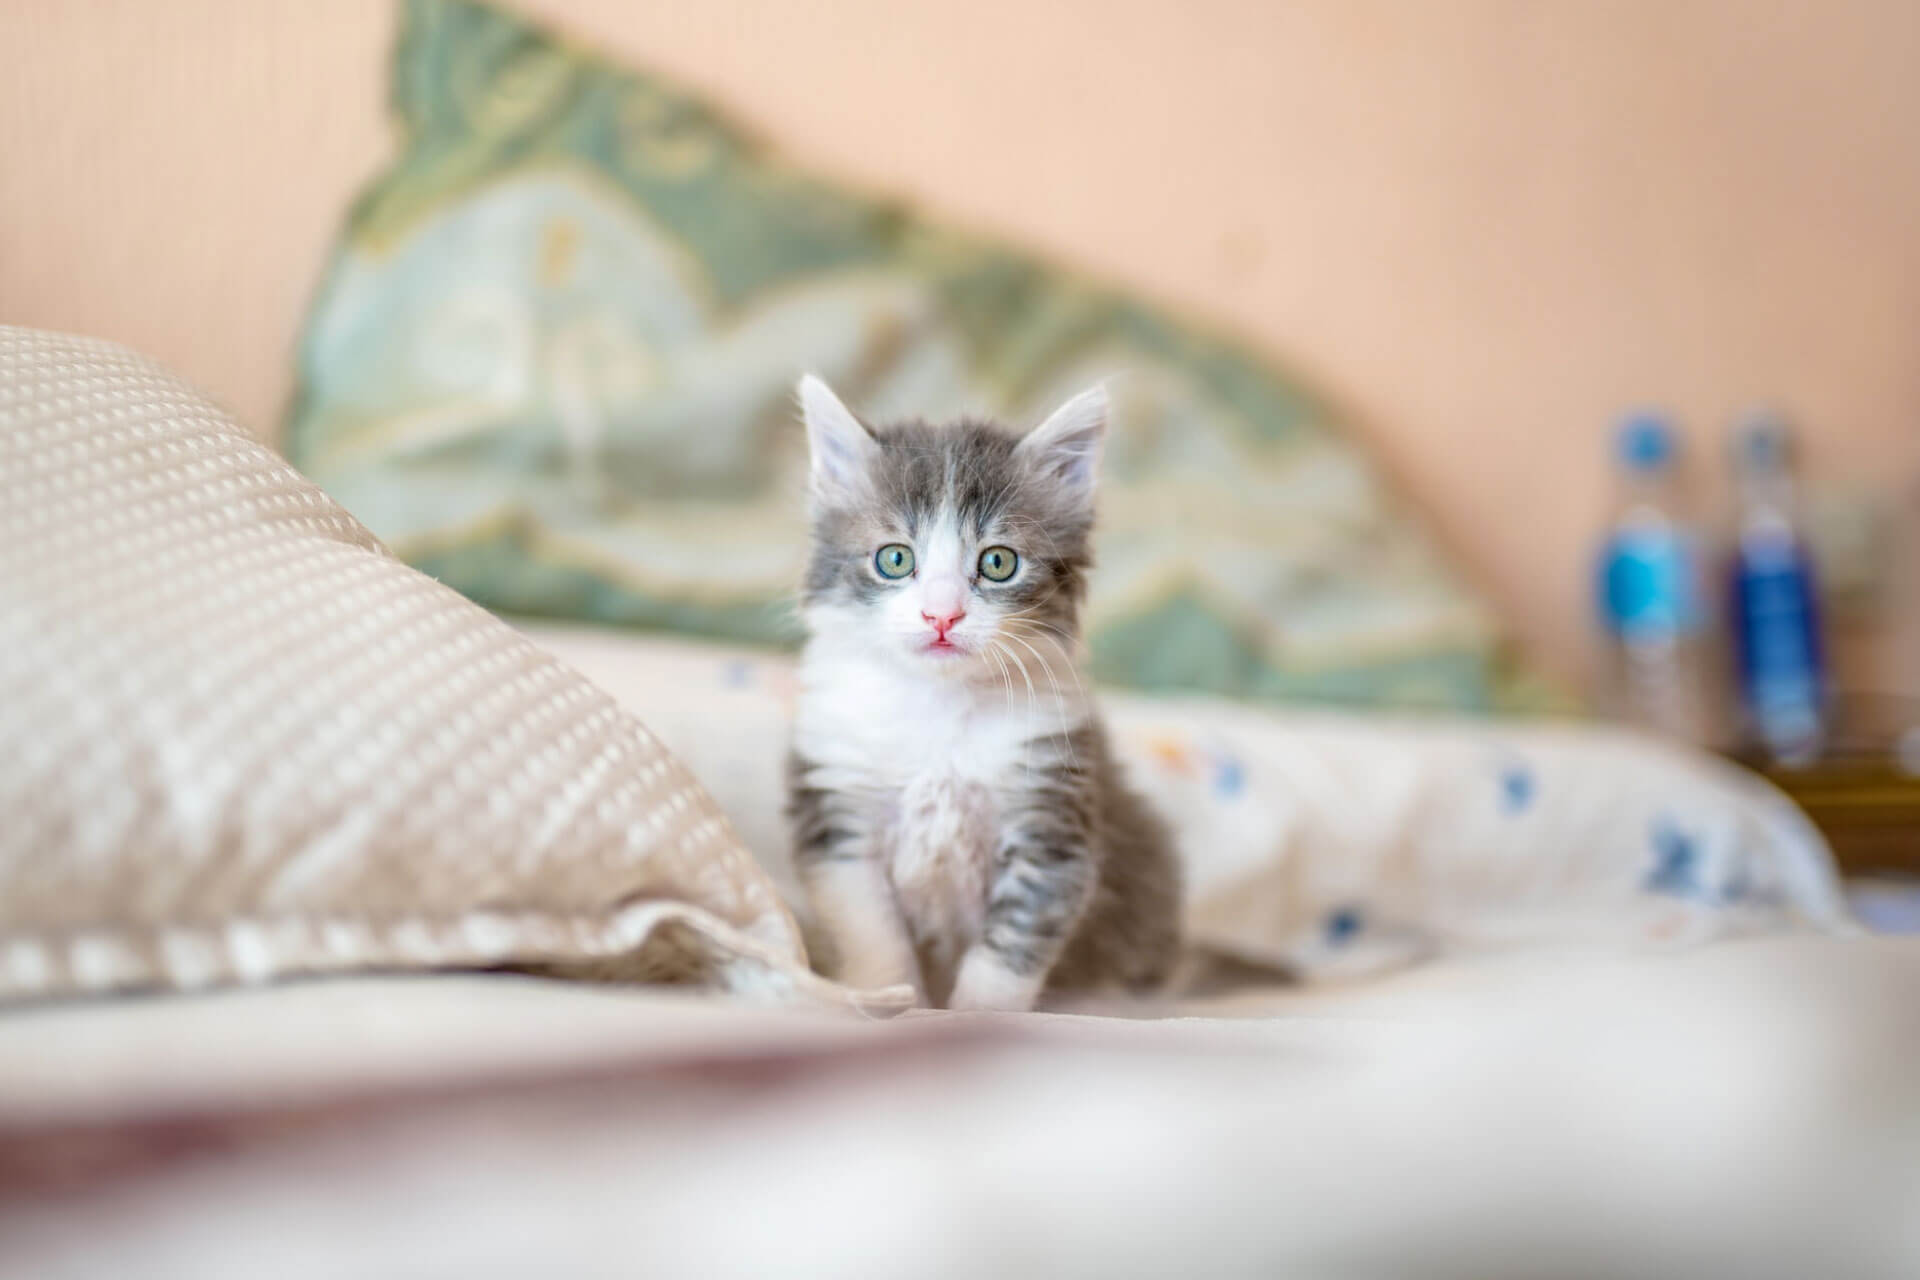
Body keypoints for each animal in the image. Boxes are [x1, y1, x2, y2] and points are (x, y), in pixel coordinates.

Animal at [787, 372, 1175, 1013]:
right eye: (895, 559)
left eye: (997, 563)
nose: (941, 615)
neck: (939, 709)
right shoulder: (840, 817)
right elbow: (873, 934)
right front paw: (892, 999)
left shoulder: (1051, 822)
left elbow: (1008, 950)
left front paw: (974, 1017)